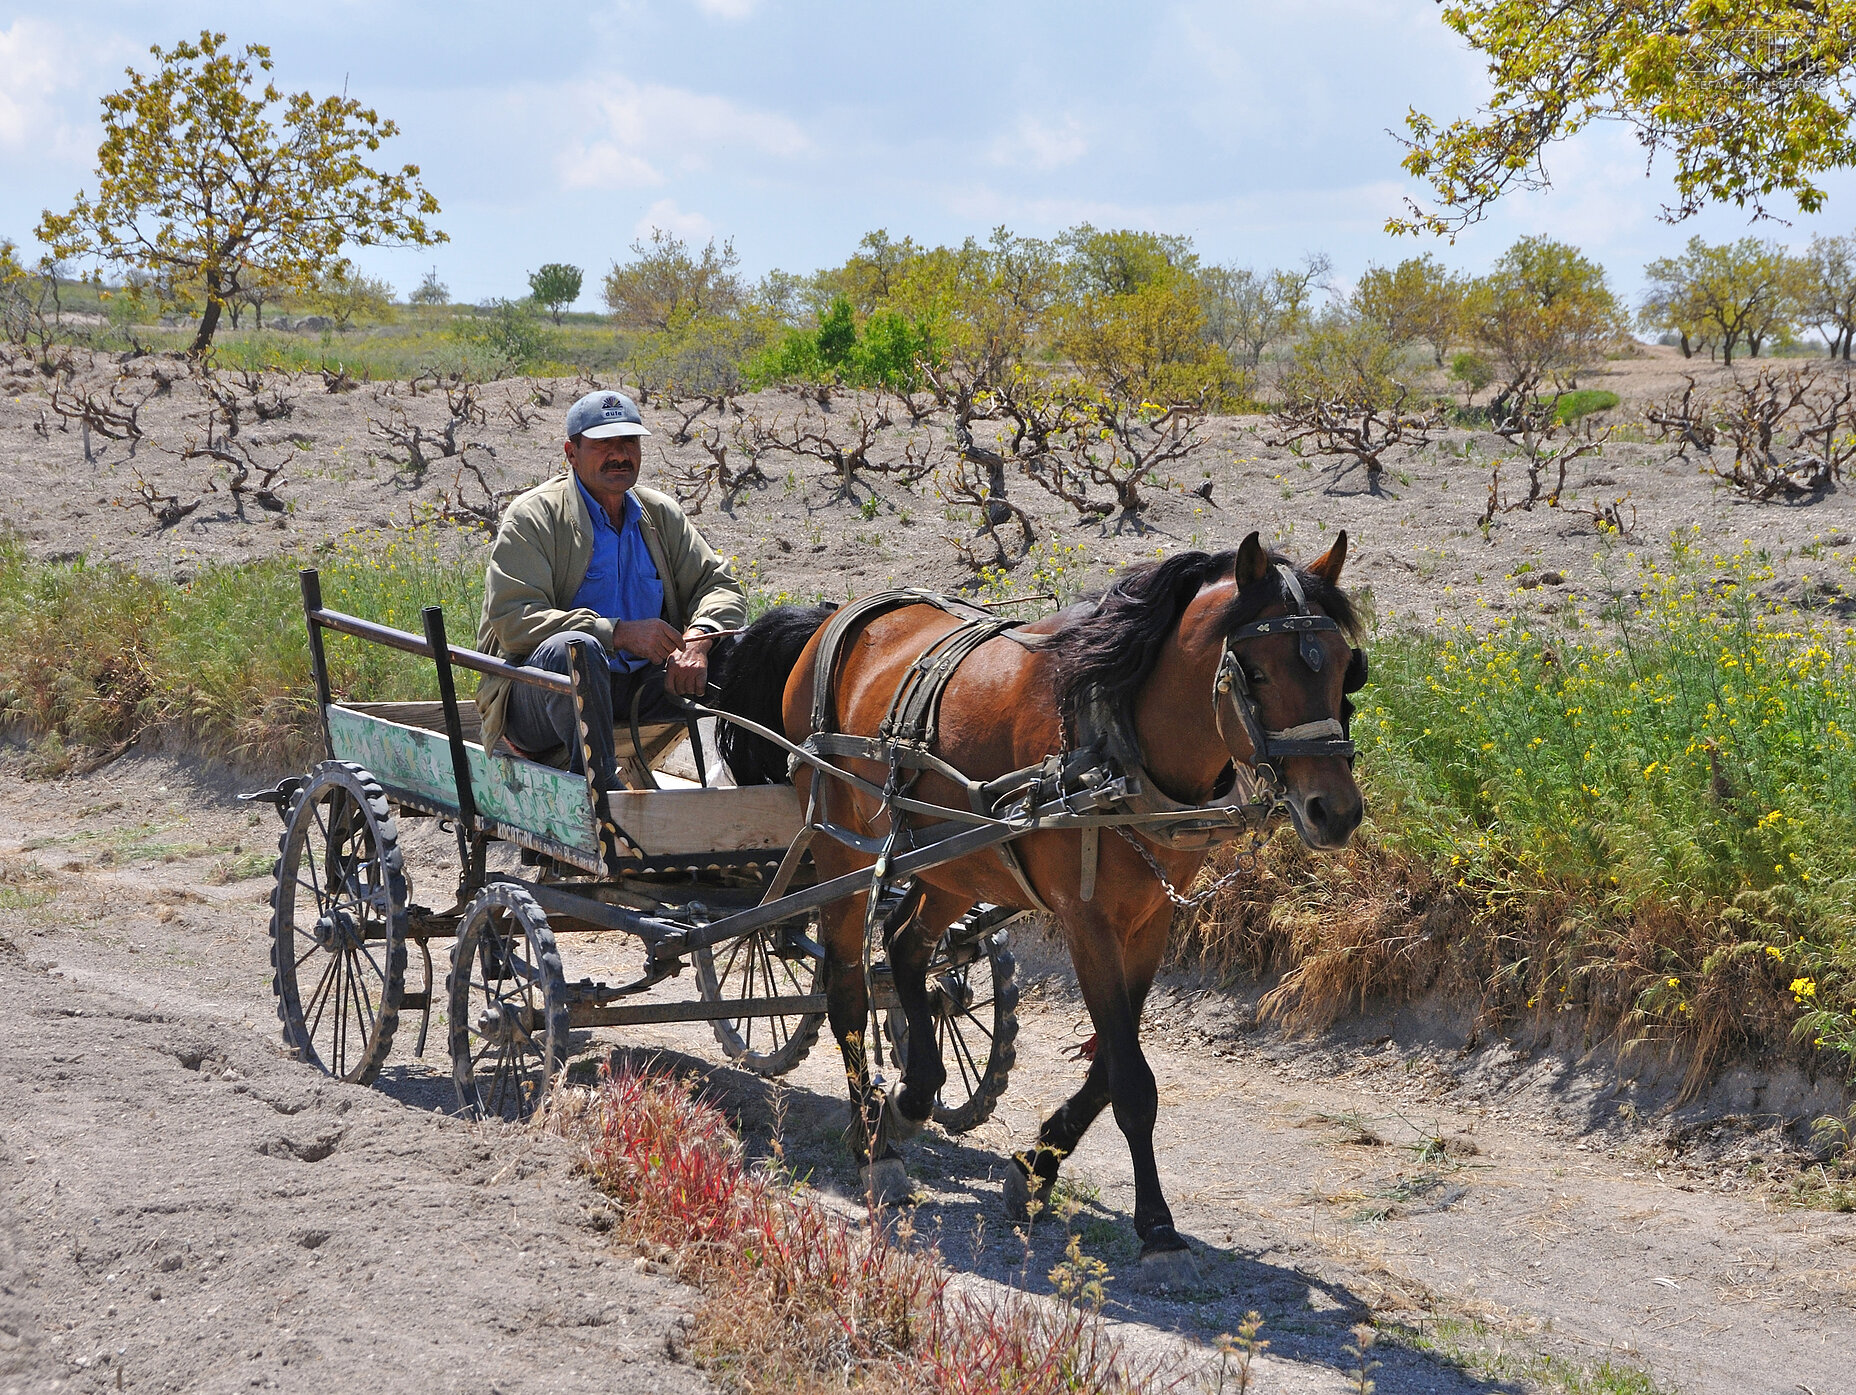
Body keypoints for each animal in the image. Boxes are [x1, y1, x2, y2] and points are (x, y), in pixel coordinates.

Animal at [708, 526, 1366, 1283]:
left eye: (1346, 667)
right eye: (1255, 671)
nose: (1336, 811)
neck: (1115, 739)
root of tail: (832, 616)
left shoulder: (1151, 921)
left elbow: (1111, 1063)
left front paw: (1035, 1166)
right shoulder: (1087, 922)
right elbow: (1131, 1078)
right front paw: (1156, 1223)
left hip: (954, 861)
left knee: (904, 943)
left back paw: (912, 1094)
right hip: (841, 845)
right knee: (845, 988)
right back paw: (877, 1148)